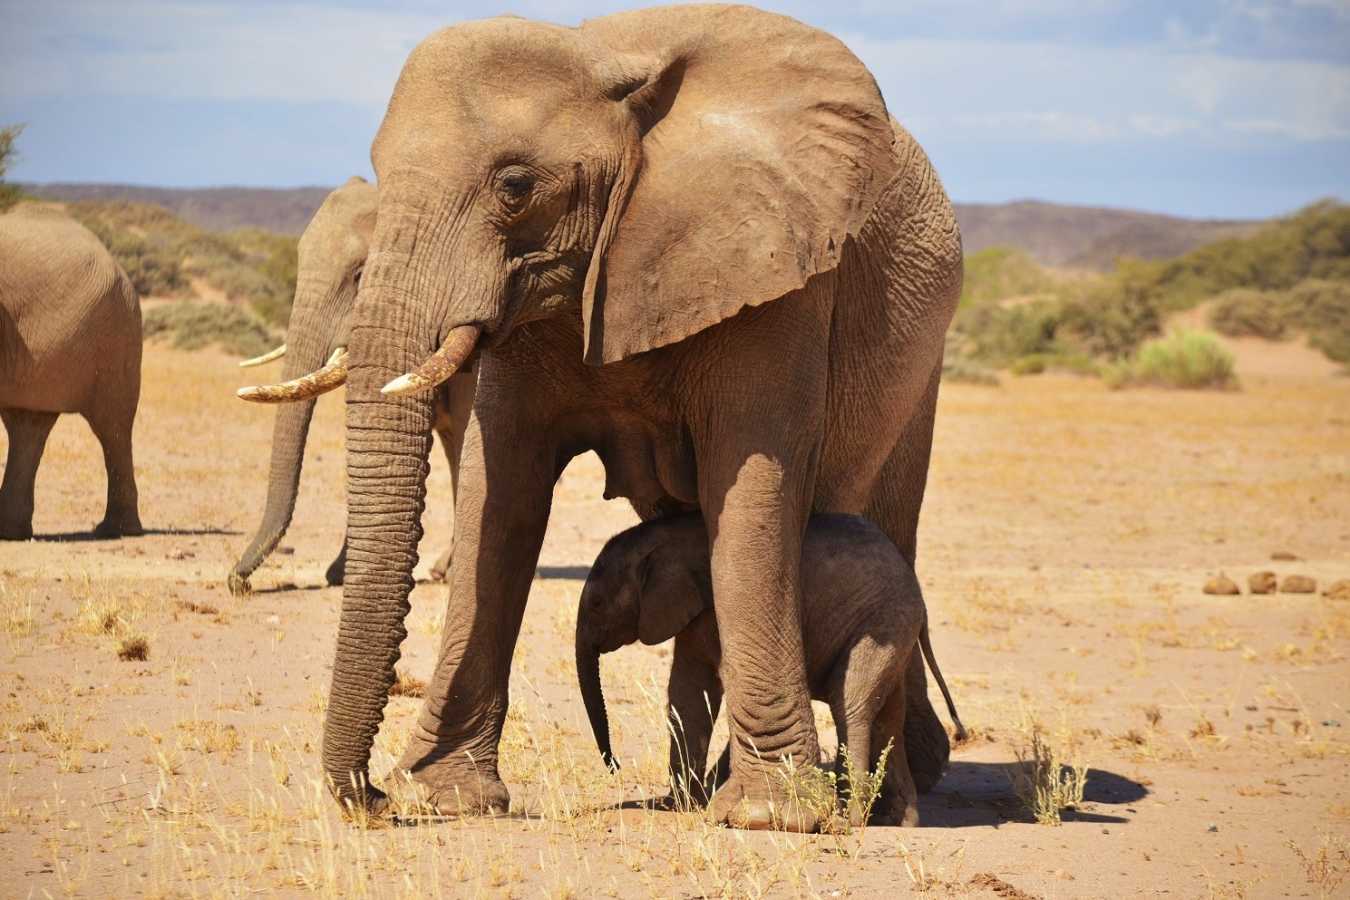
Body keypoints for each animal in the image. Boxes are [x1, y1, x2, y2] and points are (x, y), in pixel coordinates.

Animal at [575, 512, 965, 826]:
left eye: (597, 603)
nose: (615, 767)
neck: (661, 536)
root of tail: (920, 599)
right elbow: (688, 692)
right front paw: (681, 805)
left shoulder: (711, 609)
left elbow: (712, 686)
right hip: (895, 628)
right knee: (888, 715)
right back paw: (899, 821)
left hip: (880, 622)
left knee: (851, 705)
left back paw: (850, 819)